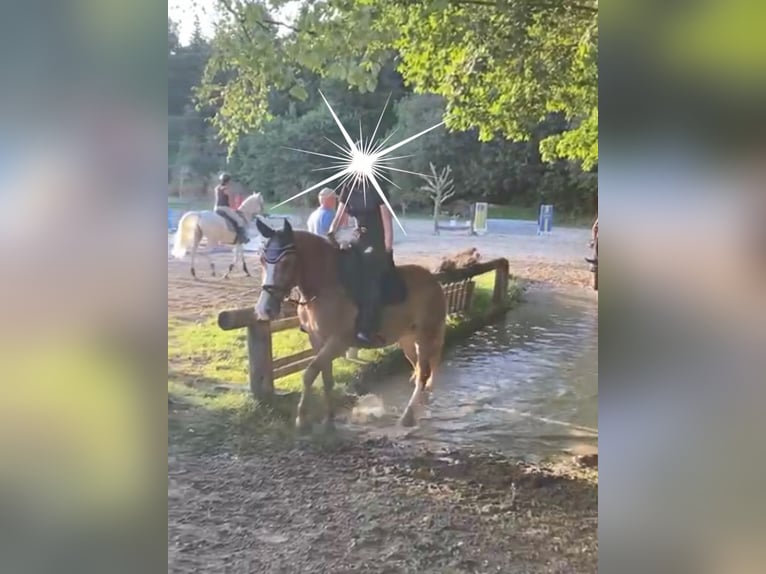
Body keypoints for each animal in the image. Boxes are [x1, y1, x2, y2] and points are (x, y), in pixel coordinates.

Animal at [256, 219, 450, 432]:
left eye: (287, 262)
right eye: (262, 260)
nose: (265, 309)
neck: (327, 285)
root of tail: (434, 281)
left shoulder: (338, 342)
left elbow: (310, 373)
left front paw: (302, 420)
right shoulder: (317, 340)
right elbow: (326, 377)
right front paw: (329, 419)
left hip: (425, 336)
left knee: (423, 373)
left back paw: (407, 416)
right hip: (407, 340)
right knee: (418, 371)